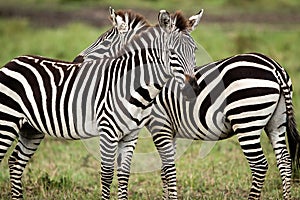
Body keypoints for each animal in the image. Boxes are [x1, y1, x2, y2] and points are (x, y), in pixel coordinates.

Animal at [0, 8, 204, 199]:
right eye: (172, 52)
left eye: (195, 51)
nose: (192, 89)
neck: (132, 86)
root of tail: (13, 61)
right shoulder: (108, 132)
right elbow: (106, 175)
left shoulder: (131, 135)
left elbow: (124, 174)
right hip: (7, 121)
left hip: (31, 128)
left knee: (15, 161)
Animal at [146, 52, 300, 199]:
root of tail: (274, 67)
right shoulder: (169, 131)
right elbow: (164, 171)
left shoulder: (160, 126)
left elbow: (167, 171)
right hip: (276, 123)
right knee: (285, 161)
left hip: (246, 121)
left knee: (259, 165)